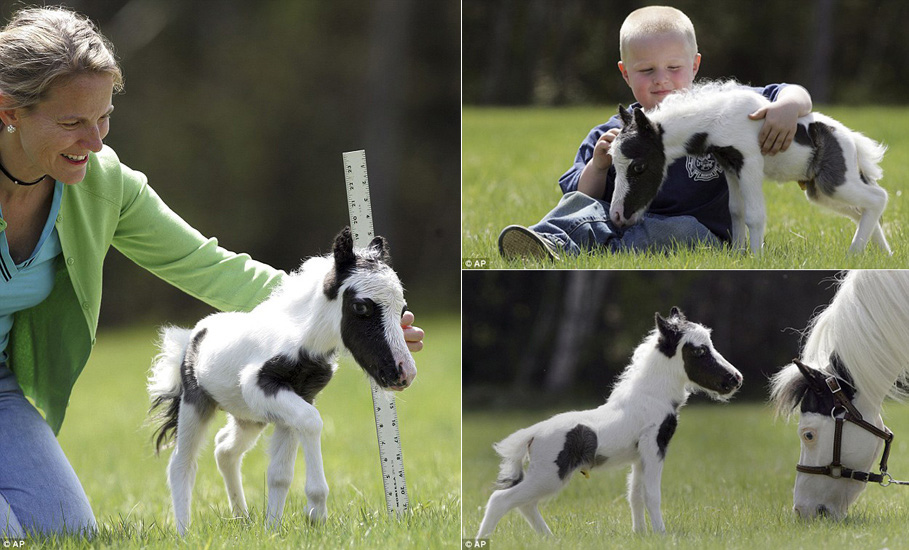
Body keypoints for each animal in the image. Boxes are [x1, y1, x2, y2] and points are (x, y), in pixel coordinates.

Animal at [148, 227, 414, 536]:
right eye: (360, 307)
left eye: (402, 309)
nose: (404, 372)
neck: (301, 339)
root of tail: (192, 335)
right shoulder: (260, 387)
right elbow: (312, 422)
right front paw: (316, 512)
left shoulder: (297, 398)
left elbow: (279, 474)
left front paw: (272, 530)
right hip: (196, 404)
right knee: (181, 463)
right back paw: (183, 533)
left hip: (249, 418)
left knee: (224, 449)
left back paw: (242, 518)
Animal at [476, 308, 736, 540]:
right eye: (699, 351)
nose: (735, 379)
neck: (650, 396)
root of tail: (532, 434)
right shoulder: (654, 447)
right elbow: (652, 495)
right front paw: (662, 535)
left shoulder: (639, 456)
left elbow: (635, 495)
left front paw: (640, 535)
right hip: (549, 474)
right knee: (500, 499)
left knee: (525, 505)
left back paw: (551, 539)